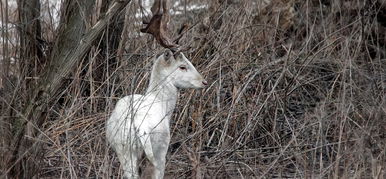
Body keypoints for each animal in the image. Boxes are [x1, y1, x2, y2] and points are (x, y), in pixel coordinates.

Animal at [105, 49, 208, 179]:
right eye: (182, 66)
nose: (204, 82)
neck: (161, 102)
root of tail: (141, 126)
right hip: (159, 150)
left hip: (125, 151)